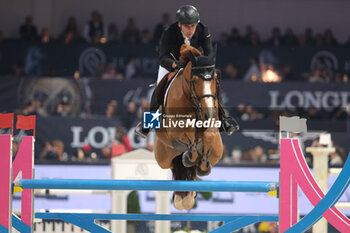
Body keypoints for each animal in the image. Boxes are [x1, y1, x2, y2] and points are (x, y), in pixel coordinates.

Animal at [154, 44, 224, 210]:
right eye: (194, 80)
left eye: (215, 79)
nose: (208, 113)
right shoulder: (174, 129)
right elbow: (187, 131)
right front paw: (190, 155)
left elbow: (208, 134)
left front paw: (202, 162)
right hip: (163, 157)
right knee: (174, 165)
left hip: (217, 152)